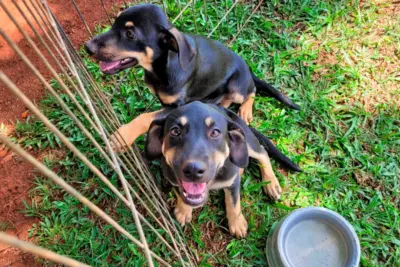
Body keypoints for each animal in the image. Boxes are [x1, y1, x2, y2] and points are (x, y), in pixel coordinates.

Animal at [144, 102, 282, 239]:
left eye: (215, 133)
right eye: (175, 131)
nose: (193, 170)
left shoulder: (232, 182)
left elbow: (233, 202)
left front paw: (237, 223)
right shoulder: (173, 179)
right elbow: (180, 194)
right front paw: (183, 211)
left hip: (248, 142)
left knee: (263, 152)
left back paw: (271, 183)